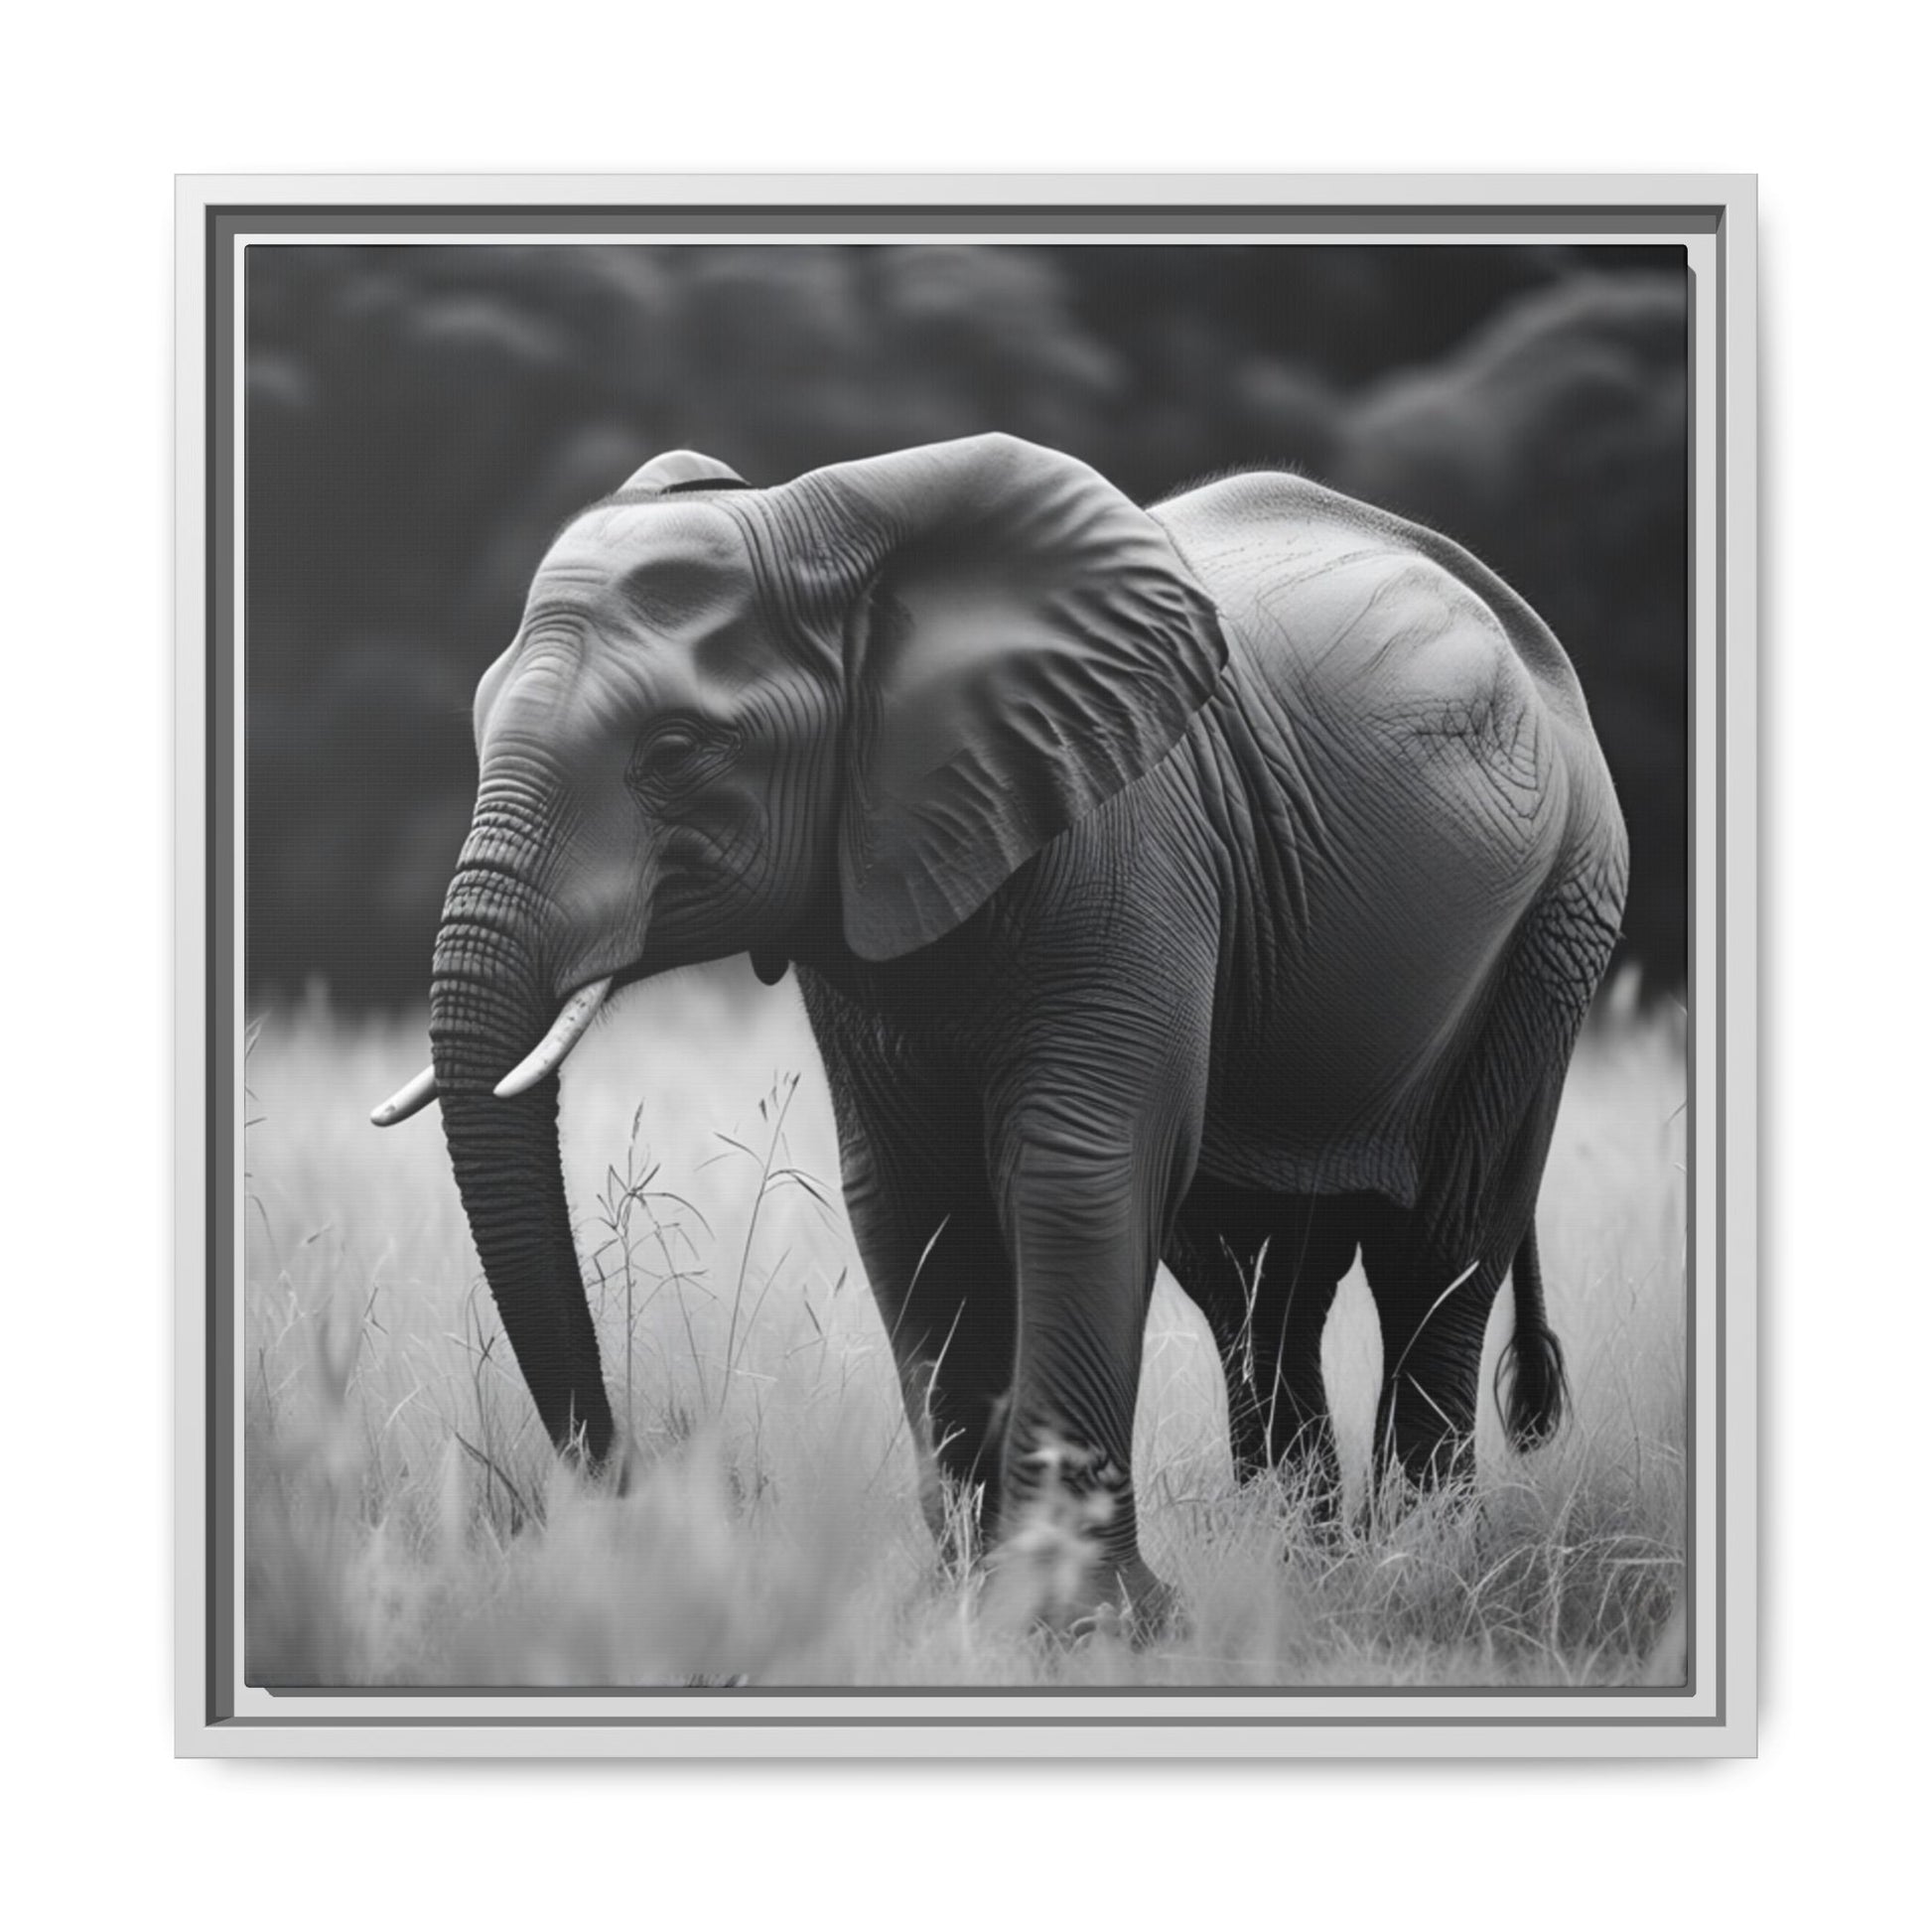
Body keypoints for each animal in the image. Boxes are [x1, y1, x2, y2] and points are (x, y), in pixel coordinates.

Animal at [372, 433, 1628, 1630]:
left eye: (675, 750)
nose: (638, 1498)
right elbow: (905, 1195)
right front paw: (965, 1606)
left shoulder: (1128, 843)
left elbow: (1075, 1169)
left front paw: (1080, 1625)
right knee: (1253, 1278)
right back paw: (1301, 1566)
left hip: (1556, 920)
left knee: (1439, 1245)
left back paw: (1418, 1566)